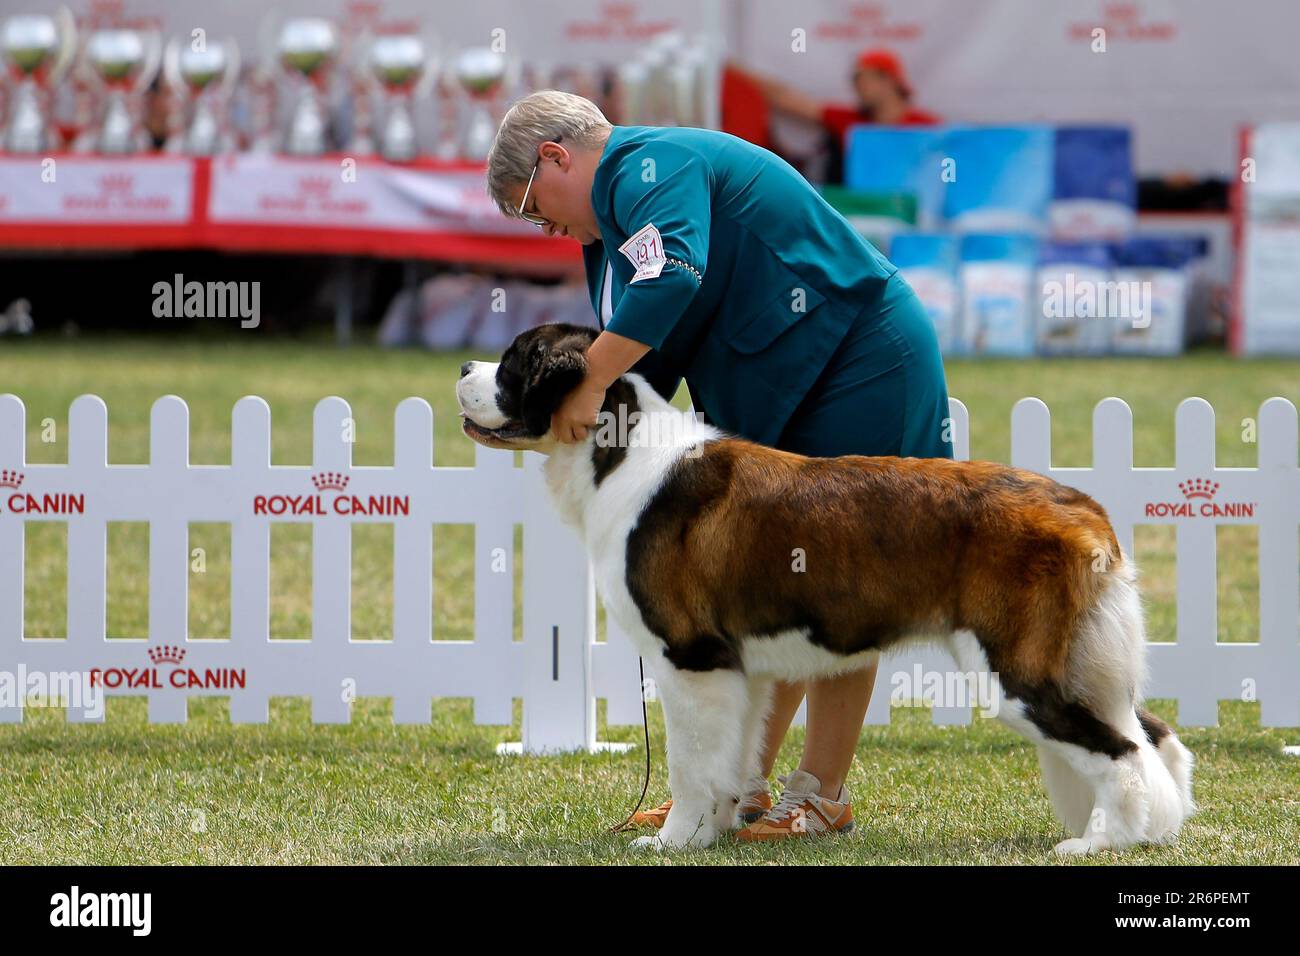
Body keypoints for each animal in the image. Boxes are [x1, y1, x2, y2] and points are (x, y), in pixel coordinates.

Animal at [457, 323, 1196, 858]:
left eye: (514, 361)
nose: (463, 368)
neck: (620, 451)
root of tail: (1080, 506)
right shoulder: (739, 670)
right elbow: (730, 758)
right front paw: (711, 833)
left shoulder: (692, 660)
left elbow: (690, 765)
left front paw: (671, 841)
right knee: (1148, 732)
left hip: (1019, 673)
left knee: (1122, 749)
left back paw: (1102, 842)